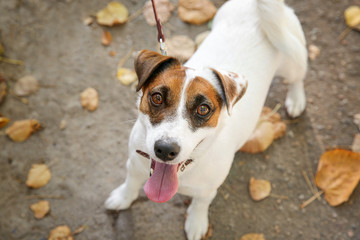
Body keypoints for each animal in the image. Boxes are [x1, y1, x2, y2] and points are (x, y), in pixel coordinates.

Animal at [105, 0, 306, 239]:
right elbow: (130, 184)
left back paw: (296, 99)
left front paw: (196, 222)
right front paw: (122, 198)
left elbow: (200, 204)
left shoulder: (208, 190)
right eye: (157, 97)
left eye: (203, 109)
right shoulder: (134, 165)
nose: (165, 149)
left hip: (292, 57)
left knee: (298, 78)